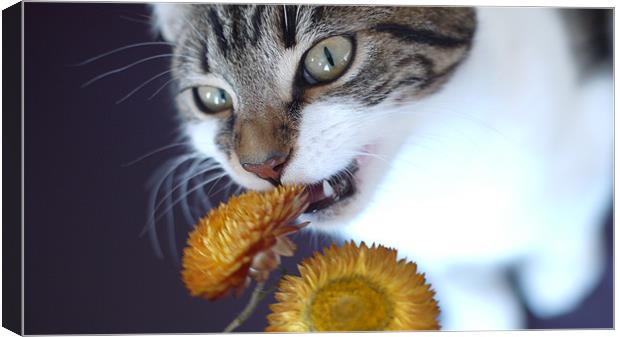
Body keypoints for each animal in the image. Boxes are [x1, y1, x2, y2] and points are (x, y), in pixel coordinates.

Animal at [149, 3, 612, 330]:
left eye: (328, 57)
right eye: (212, 98)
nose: (262, 165)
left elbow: (571, 207)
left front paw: (562, 271)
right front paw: (481, 311)